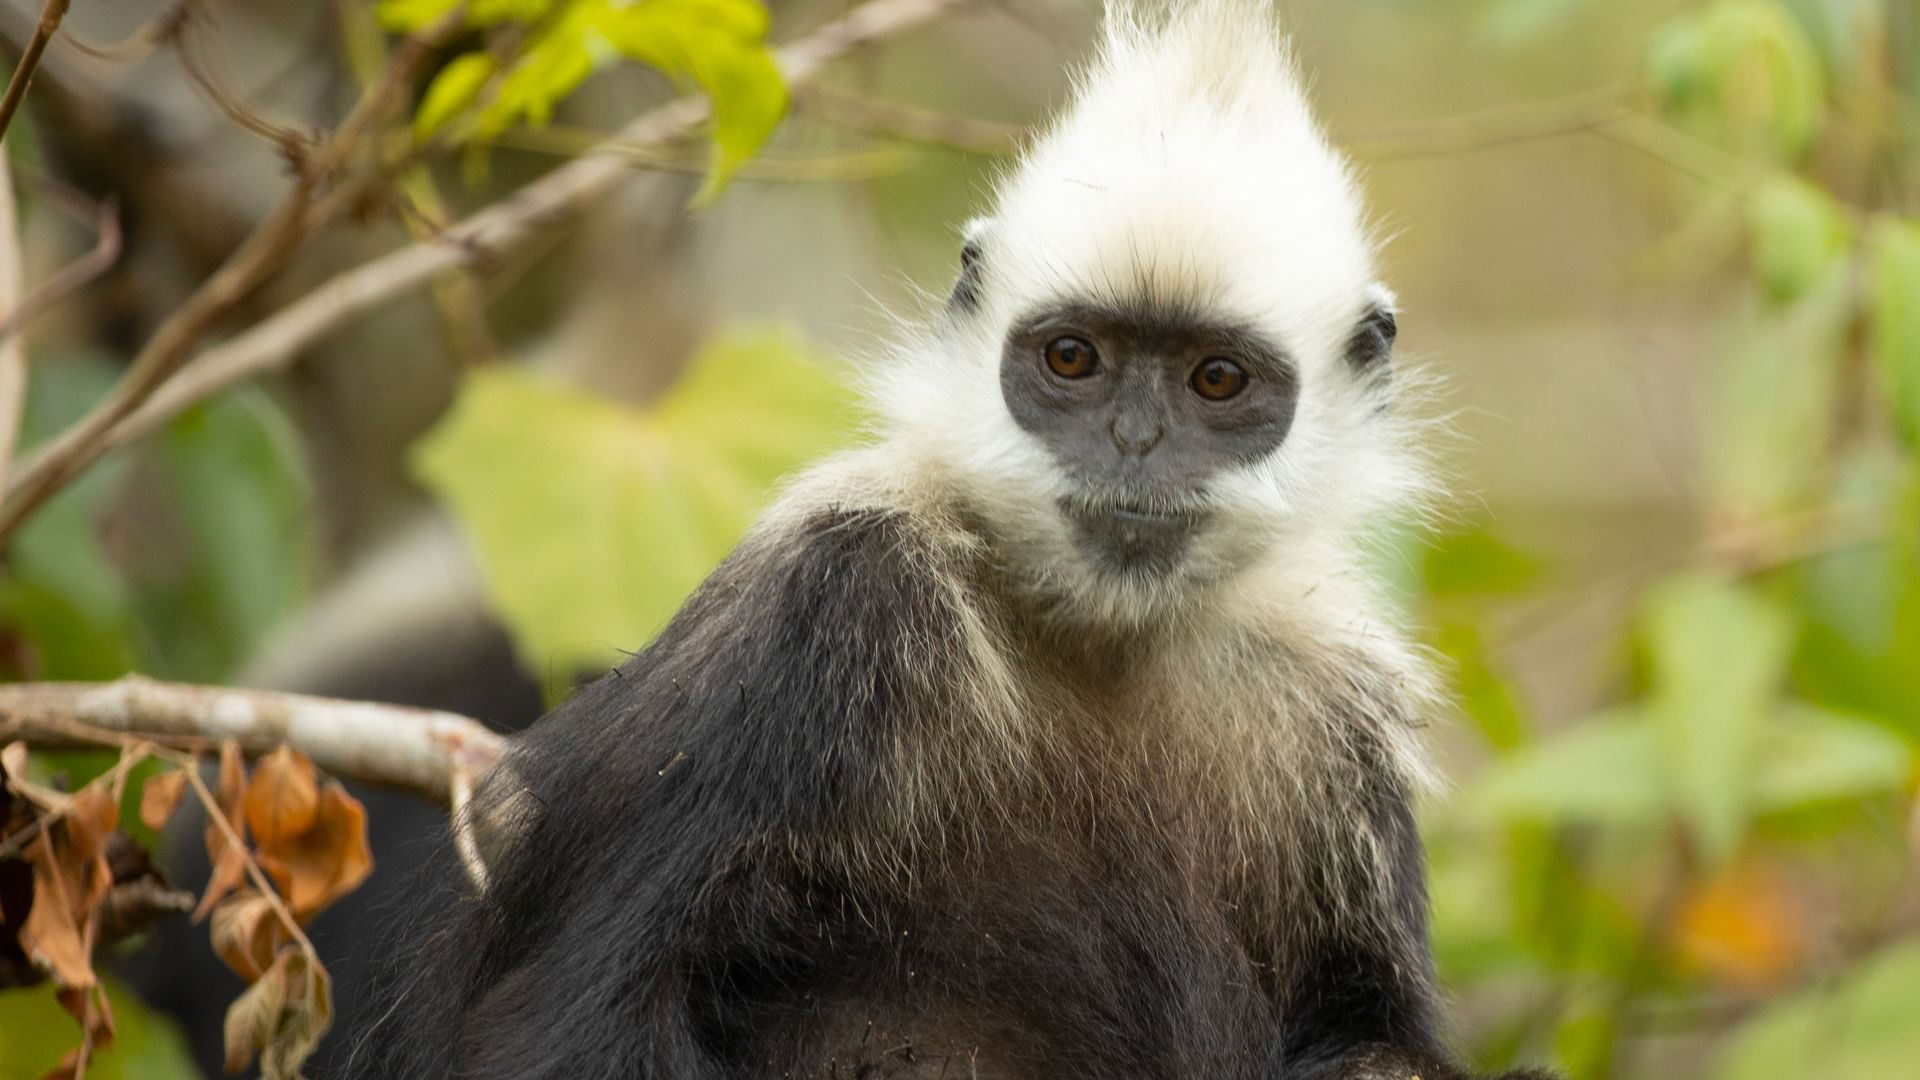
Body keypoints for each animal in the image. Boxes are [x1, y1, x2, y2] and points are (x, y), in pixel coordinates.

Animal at [357, 3, 1556, 1078]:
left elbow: (1370, 1035)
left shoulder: (1336, 712)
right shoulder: (834, 599)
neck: (1102, 644)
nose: (1133, 443)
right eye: (1073, 360)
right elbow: (569, 1019)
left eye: (1216, 380)